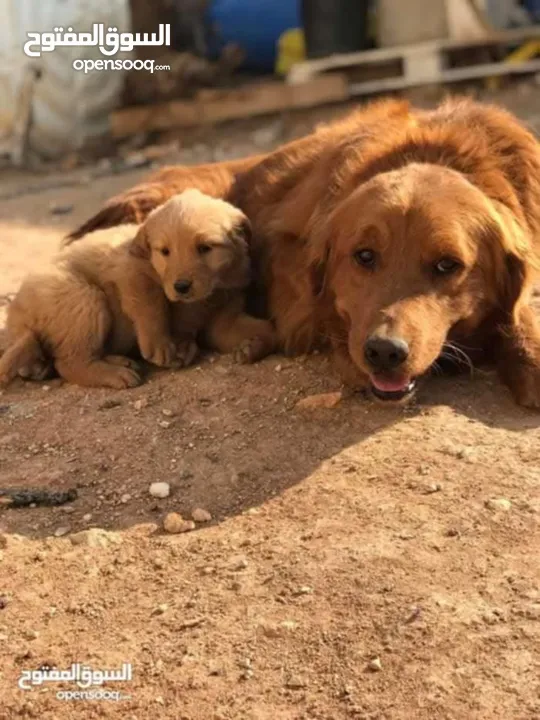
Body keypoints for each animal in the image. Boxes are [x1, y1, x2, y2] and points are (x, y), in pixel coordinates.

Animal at [0, 187, 276, 388]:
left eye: (205, 248)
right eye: (165, 251)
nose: (181, 287)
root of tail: (17, 319)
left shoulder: (223, 318)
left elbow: (261, 329)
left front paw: (253, 346)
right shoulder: (129, 270)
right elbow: (150, 302)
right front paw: (161, 346)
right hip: (82, 299)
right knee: (70, 362)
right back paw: (113, 374)